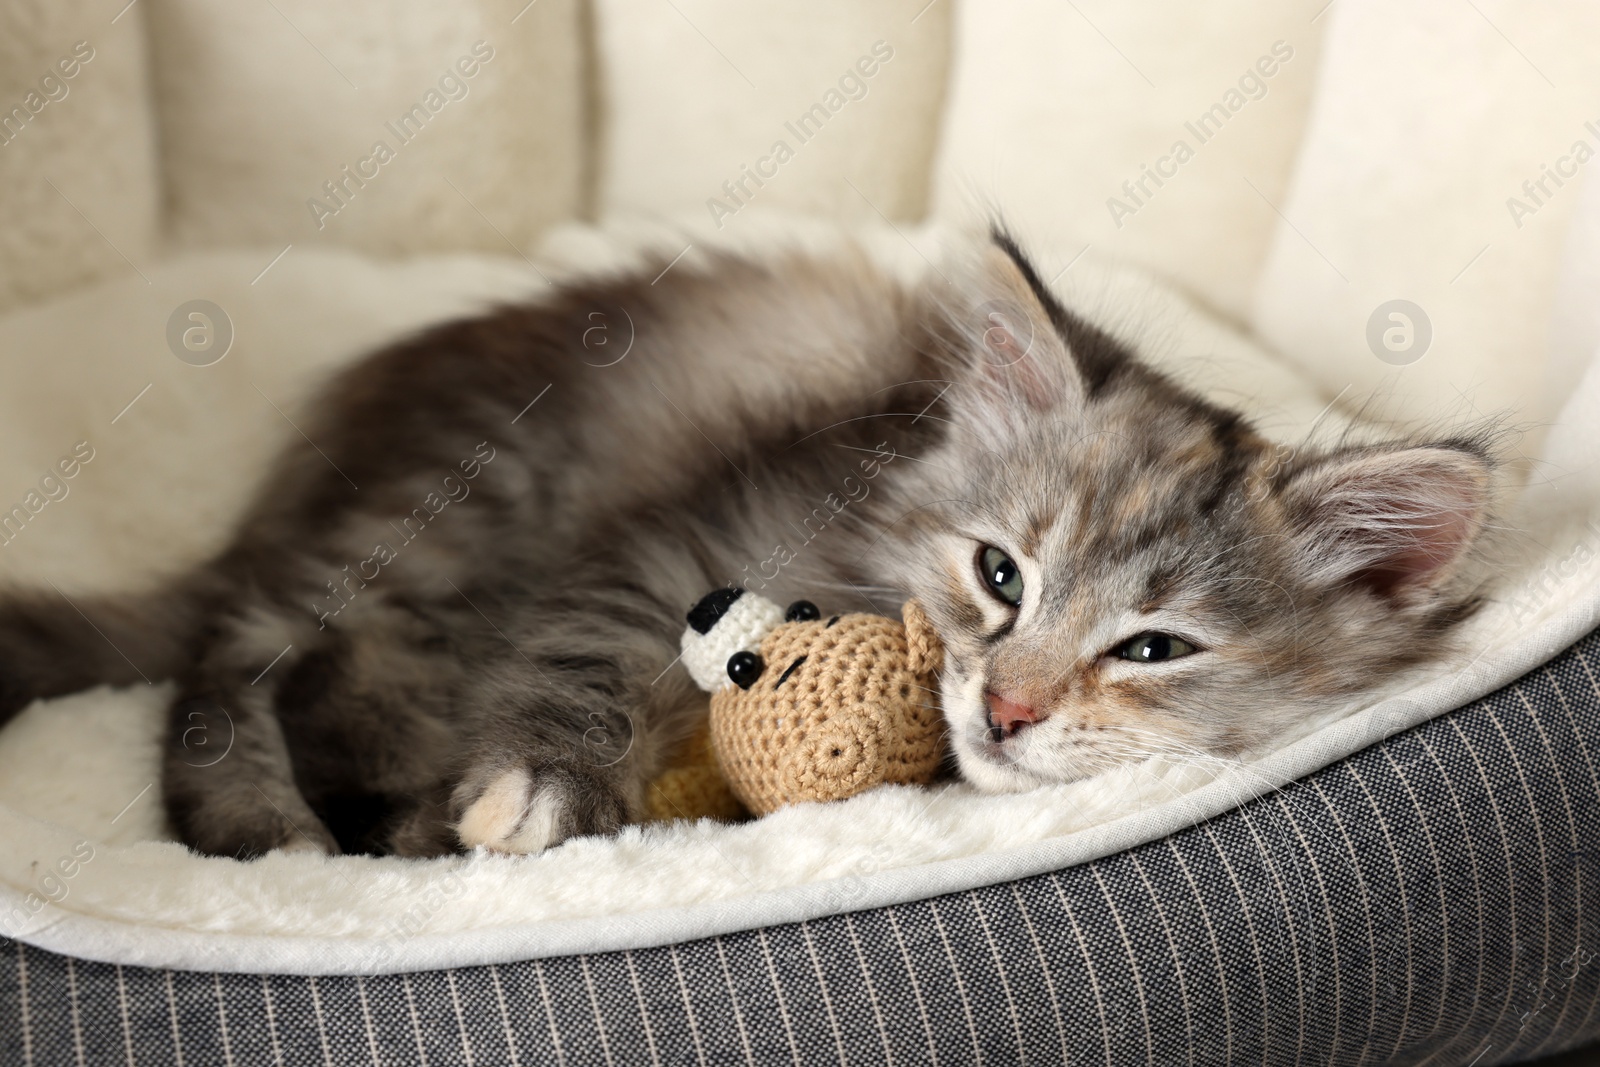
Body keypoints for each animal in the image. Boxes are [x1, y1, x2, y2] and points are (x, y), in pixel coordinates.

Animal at [0, 230, 1497, 857]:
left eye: (1151, 648)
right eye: (999, 574)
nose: (1008, 711)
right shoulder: (673, 541)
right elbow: (578, 660)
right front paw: (534, 791)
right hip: (451, 510)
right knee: (234, 657)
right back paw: (268, 822)